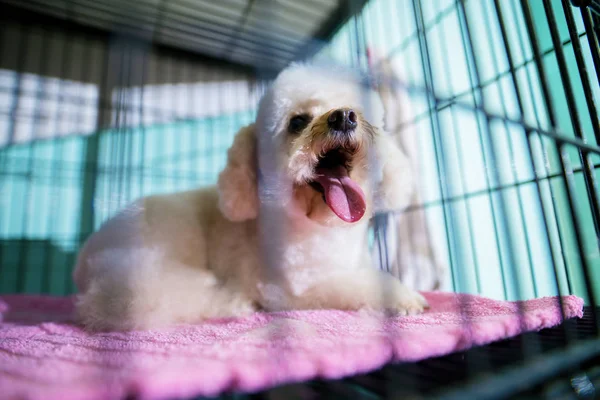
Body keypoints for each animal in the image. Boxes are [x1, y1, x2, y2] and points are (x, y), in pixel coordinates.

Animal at [74, 63, 426, 332]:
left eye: (359, 113)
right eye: (297, 121)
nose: (343, 116)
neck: (322, 230)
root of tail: (84, 256)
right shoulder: (291, 291)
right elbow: (355, 284)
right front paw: (402, 297)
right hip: (162, 241)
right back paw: (231, 303)